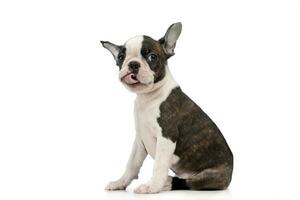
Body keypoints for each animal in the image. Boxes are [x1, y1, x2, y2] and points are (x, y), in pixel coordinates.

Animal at [100, 22, 232, 194]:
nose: (133, 64)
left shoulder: (166, 137)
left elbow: (159, 165)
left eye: (152, 57)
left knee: (188, 183)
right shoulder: (139, 139)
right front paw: (120, 182)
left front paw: (152, 186)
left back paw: (165, 182)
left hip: (212, 176)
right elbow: (132, 164)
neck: (148, 98)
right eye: (121, 57)